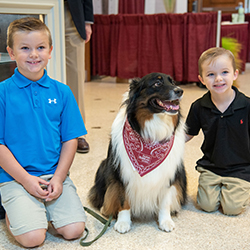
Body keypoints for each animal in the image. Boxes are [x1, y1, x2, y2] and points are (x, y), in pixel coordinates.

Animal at [89, 73, 187, 233]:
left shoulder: (168, 173)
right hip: (104, 165)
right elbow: (123, 199)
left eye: (172, 81)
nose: (180, 91)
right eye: (157, 83)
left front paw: (165, 221)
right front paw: (123, 222)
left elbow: (165, 201)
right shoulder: (121, 171)